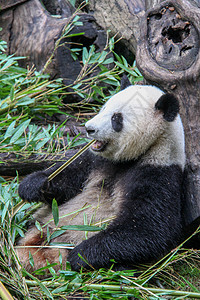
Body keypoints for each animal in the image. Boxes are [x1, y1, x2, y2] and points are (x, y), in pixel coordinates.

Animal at [18, 82, 185, 272]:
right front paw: (32, 185)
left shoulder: (158, 172)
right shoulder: (95, 161)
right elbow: (68, 177)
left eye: (116, 118)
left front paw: (80, 255)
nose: (89, 128)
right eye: (104, 108)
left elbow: (149, 228)